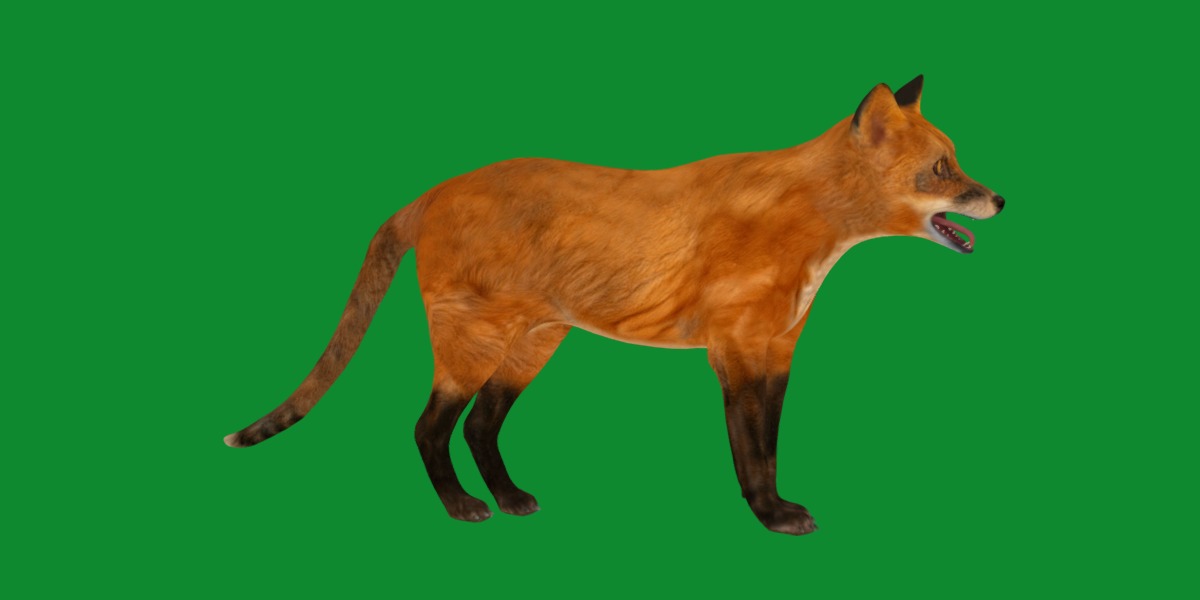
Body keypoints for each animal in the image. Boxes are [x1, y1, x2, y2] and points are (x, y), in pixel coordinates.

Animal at [224, 75, 1005, 535]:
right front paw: (769, 516)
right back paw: (463, 508)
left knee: (479, 427)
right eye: (942, 170)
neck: (812, 233)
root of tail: (436, 188)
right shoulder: (736, 353)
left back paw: (510, 499)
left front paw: (776, 507)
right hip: (473, 348)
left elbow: (772, 447)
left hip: (531, 348)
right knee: (426, 429)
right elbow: (750, 452)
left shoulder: (779, 352)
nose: (999, 199)